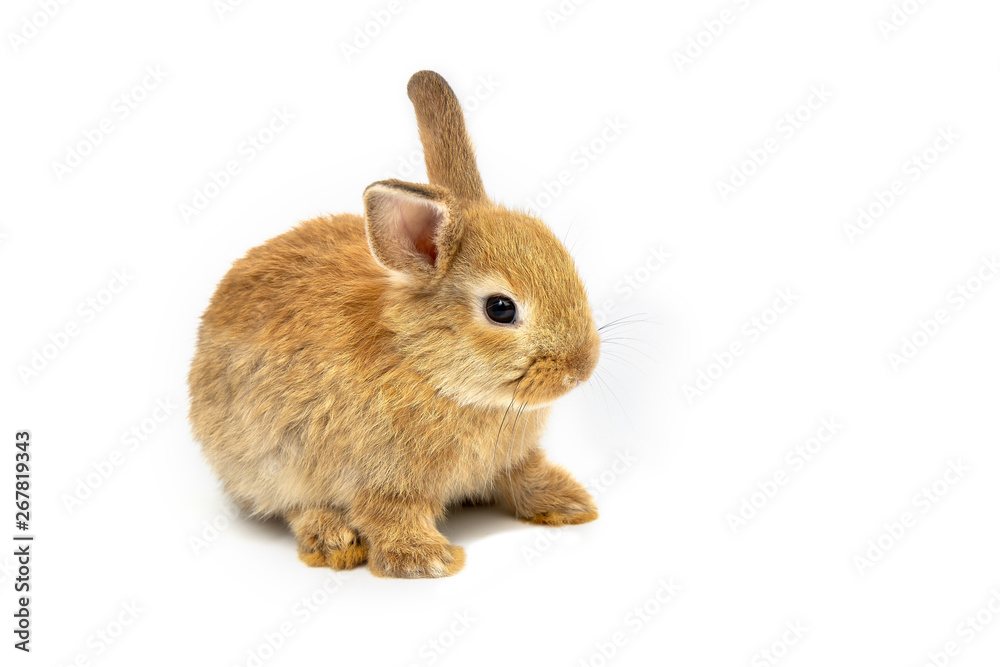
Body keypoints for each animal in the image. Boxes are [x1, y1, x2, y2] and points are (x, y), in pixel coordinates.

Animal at [188, 70, 601, 578]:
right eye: (501, 309)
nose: (582, 367)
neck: (425, 367)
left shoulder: (510, 461)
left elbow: (524, 476)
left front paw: (569, 503)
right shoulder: (379, 478)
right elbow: (389, 514)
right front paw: (427, 559)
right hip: (267, 462)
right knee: (294, 506)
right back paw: (332, 541)